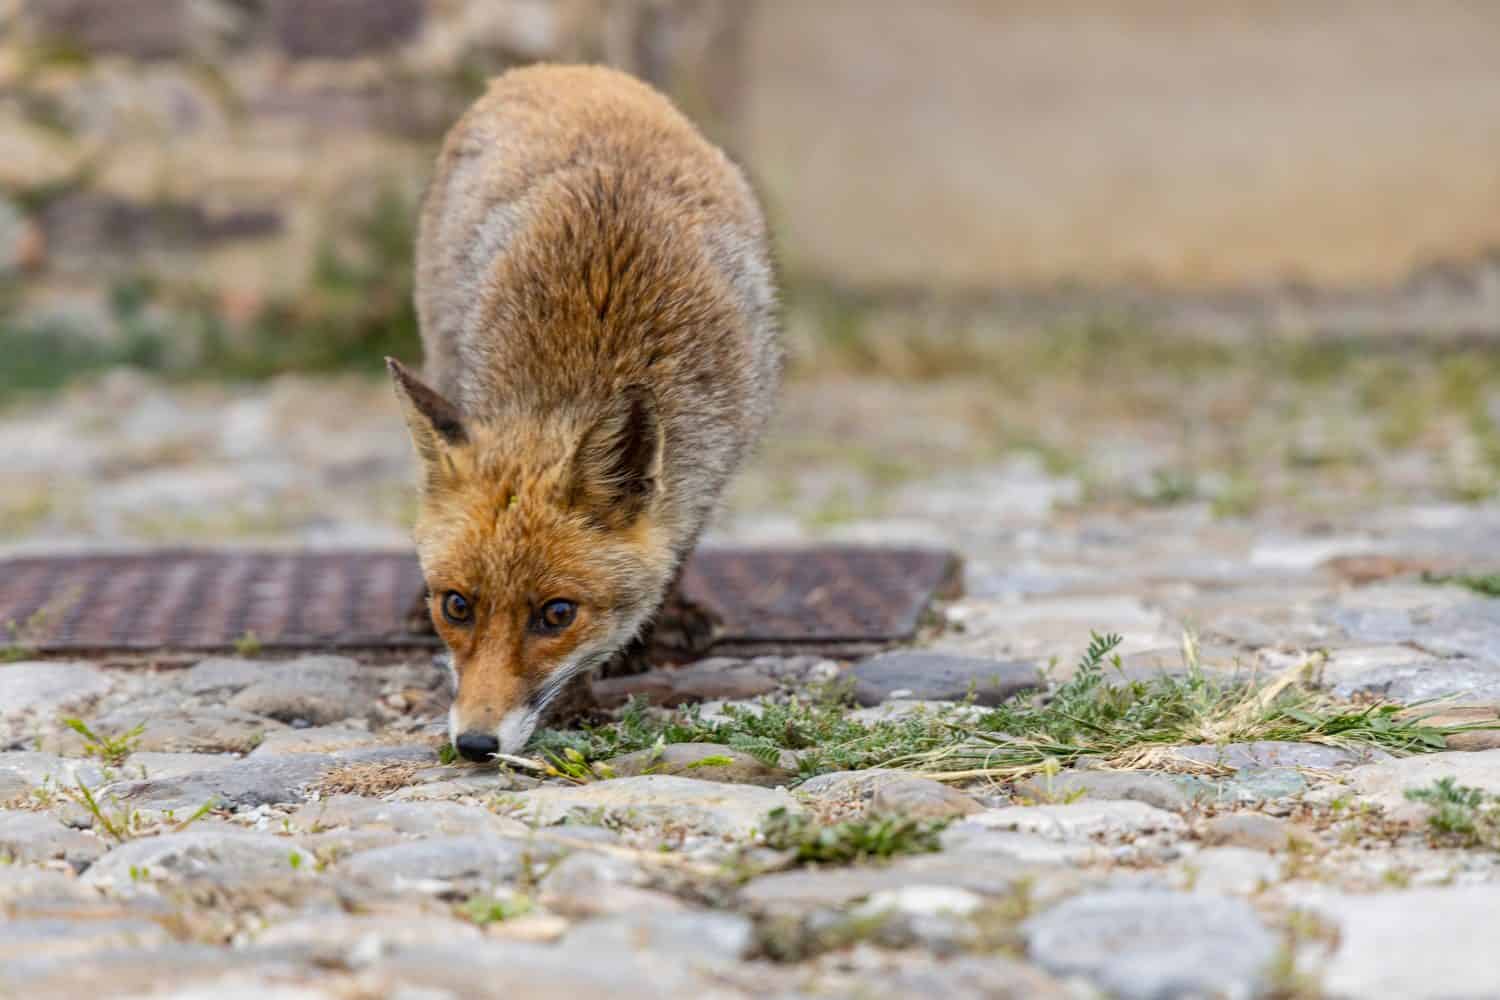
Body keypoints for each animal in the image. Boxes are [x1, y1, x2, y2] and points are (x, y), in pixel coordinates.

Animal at [387, 64, 781, 762]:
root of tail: (558, 70)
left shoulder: (718, 454)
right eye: (457, 607)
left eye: (557, 615)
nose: (476, 744)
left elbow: (675, 550)